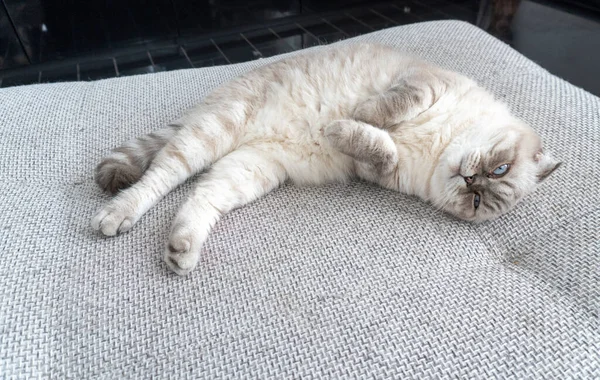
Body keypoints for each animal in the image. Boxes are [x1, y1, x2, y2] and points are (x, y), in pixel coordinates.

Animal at [91, 42, 560, 276]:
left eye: (478, 201)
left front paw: (338, 129)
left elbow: (379, 148)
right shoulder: (424, 83)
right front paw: (354, 116)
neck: (439, 147)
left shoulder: (374, 170)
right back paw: (117, 215)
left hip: (250, 170)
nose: (470, 179)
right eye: (499, 167)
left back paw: (181, 250)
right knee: (159, 178)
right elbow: (388, 109)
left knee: (198, 199)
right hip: (212, 134)